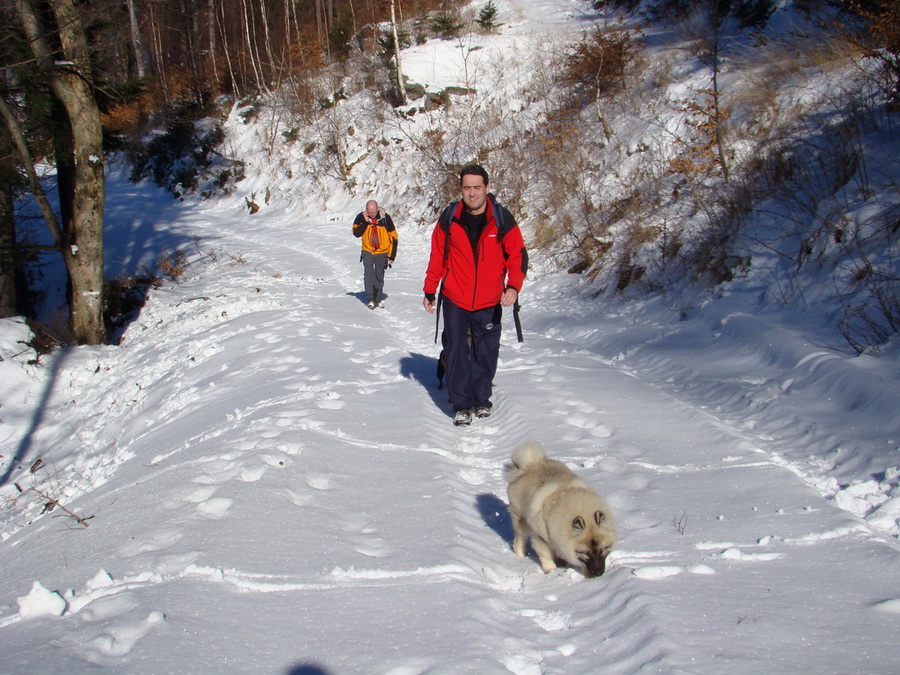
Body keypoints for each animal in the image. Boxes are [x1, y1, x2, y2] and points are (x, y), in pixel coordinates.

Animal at [502, 444, 616, 576]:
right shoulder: (541, 538)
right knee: (520, 540)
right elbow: (546, 556)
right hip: (521, 520)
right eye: (585, 553)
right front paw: (551, 571)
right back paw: (521, 555)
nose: (598, 572)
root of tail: (529, 466)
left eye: (602, 549)